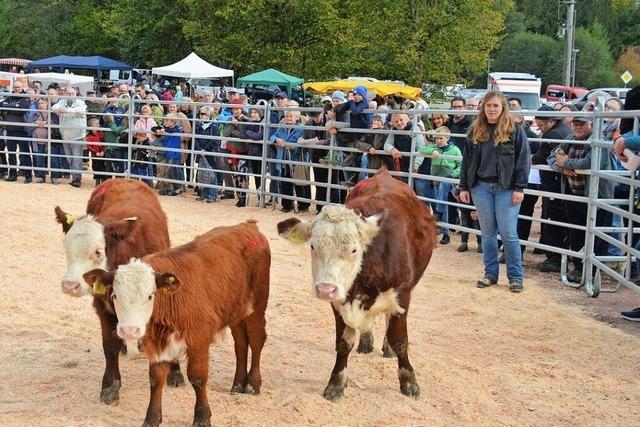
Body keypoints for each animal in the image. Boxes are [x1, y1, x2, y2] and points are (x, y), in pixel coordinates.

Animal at [53, 179, 184, 406]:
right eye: (66, 247)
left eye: (98, 251)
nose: (70, 285)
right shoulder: (102, 303)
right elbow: (110, 345)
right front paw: (110, 386)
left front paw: (175, 372)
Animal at [82, 221, 270, 427]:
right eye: (115, 295)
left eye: (150, 296)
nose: (129, 330)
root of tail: (248, 226)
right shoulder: (158, 342)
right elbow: (156, 379)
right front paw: (152, 419)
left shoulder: (199, 338)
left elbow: (197, 378)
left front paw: (202, 417)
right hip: (236, 312)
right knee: (241, 343)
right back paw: (237, 384)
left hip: (257, 306)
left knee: (256, 340)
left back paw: (252, 384)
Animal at [278, 168, 438, 402]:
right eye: (313, 246)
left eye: (354, 249)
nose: (325, 289)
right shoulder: (339, 302)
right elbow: (344, 343)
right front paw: (336, 383)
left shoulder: (402, 297)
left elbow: (400, 341)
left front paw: (409, 382)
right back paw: (366, 340)